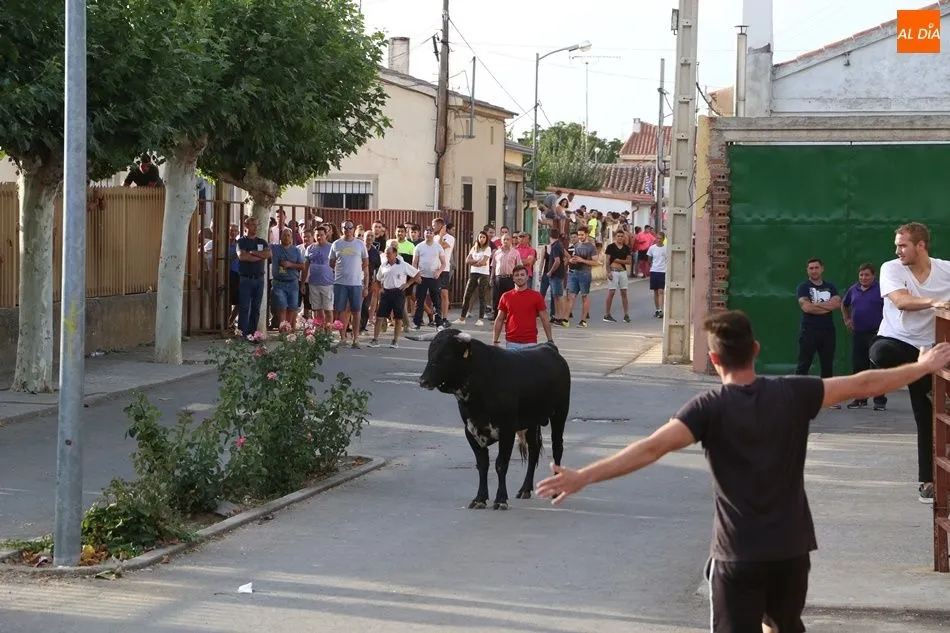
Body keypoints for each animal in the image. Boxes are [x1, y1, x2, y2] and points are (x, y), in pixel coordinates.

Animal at [418, 329, 571, 510]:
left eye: (446, 355)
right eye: (429, 353)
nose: (423, 380)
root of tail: (549, 347)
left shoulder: (507, 431)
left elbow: (501, 464)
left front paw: (500, 499)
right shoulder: (470, 431)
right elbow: (482, 464)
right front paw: (480, 498)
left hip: (560, 414)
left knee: (557, 448)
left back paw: (556, 491)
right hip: (532, 422)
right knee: (534, 451)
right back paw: (525, 489)